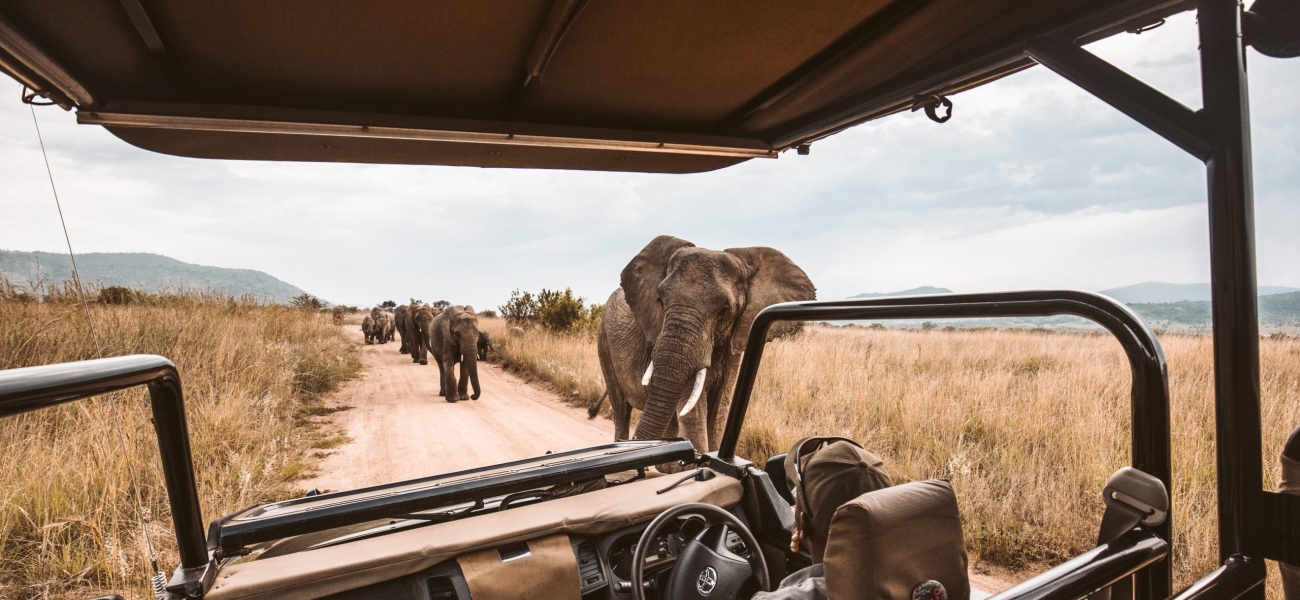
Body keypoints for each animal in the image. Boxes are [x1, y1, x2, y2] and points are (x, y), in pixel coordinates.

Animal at [593, 235, 815, 455]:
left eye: (725, 309)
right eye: (660, 300)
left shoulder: (734, 343)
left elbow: (719, 412)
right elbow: (693, 415)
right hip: (604, 342)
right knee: (621, 410)